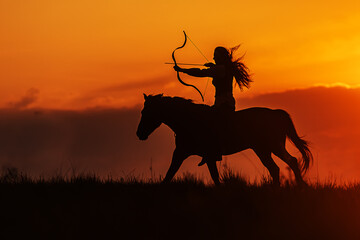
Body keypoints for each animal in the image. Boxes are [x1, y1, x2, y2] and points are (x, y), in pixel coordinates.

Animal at [136, 94, 312, 186]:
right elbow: (170, 174)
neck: (190, 121)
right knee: (283, 165)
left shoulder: (202, 155)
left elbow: (213, 177)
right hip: (267, 149)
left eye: (146, 112)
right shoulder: (184, 154)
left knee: (285, 164)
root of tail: (277, 113)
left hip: (269, 148)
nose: (139, 134)